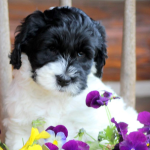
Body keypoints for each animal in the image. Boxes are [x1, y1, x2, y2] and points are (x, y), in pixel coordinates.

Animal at [3, 6, 141, 150]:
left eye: (81, 54)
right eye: (52, 49)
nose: (64, 80)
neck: (55, 97)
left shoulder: (90, 127)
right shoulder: (20, 127)